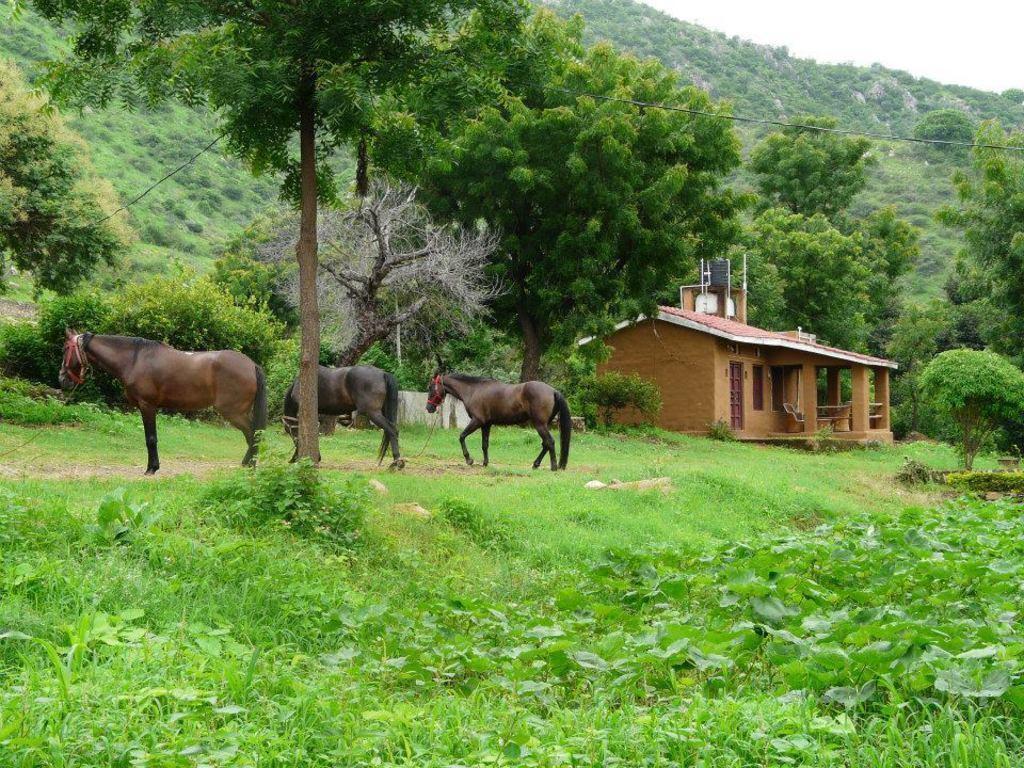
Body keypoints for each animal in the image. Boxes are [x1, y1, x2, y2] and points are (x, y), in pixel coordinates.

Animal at [58, 331, 268, 475]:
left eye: (66, 349)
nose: (62, 379)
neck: (135, 360)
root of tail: (251, 365)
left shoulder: (147, 406)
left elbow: (151, 438)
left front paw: (151, 468)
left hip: (234, 412)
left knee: (253, 434)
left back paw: (250, 466)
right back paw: (248, 464)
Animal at [421, 370, 569, 473]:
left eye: (430, 387)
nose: (429, 408)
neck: (474, 390)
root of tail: (553, 391)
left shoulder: (477, 421)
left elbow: (462, 436)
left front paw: (469, 459)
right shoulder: (486, 424)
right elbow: (484, 444)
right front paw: (485, 463)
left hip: (539, 425)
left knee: (549, 442)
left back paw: (553, 467)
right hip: (543, 425)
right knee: (545, 444)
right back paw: (536, 464)